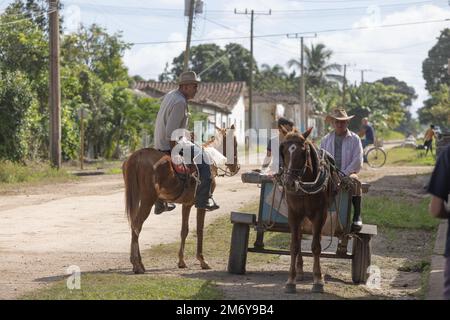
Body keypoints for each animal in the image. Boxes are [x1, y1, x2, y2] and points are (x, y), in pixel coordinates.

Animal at [119, 125, 239, 272]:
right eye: (235, 143)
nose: (236, 167)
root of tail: (137, 156)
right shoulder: (201, 204)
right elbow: (199, 229)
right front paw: (202, 260)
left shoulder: (187, 204)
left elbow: (184, 230)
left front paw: (181, 261)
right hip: (147, 200)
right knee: (137, 225)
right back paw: (137, 264)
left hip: (137, 197)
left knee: (133, 225)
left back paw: (138, 263)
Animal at [280, 127, 336, 292]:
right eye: (283, 150)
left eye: (303, 152)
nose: (289, 183)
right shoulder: (293, 214)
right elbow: (294, 246)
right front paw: (291, 280)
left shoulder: (320, 214)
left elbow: (316, 246)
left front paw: (318, 279)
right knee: (298, 237)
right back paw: (299, 271)